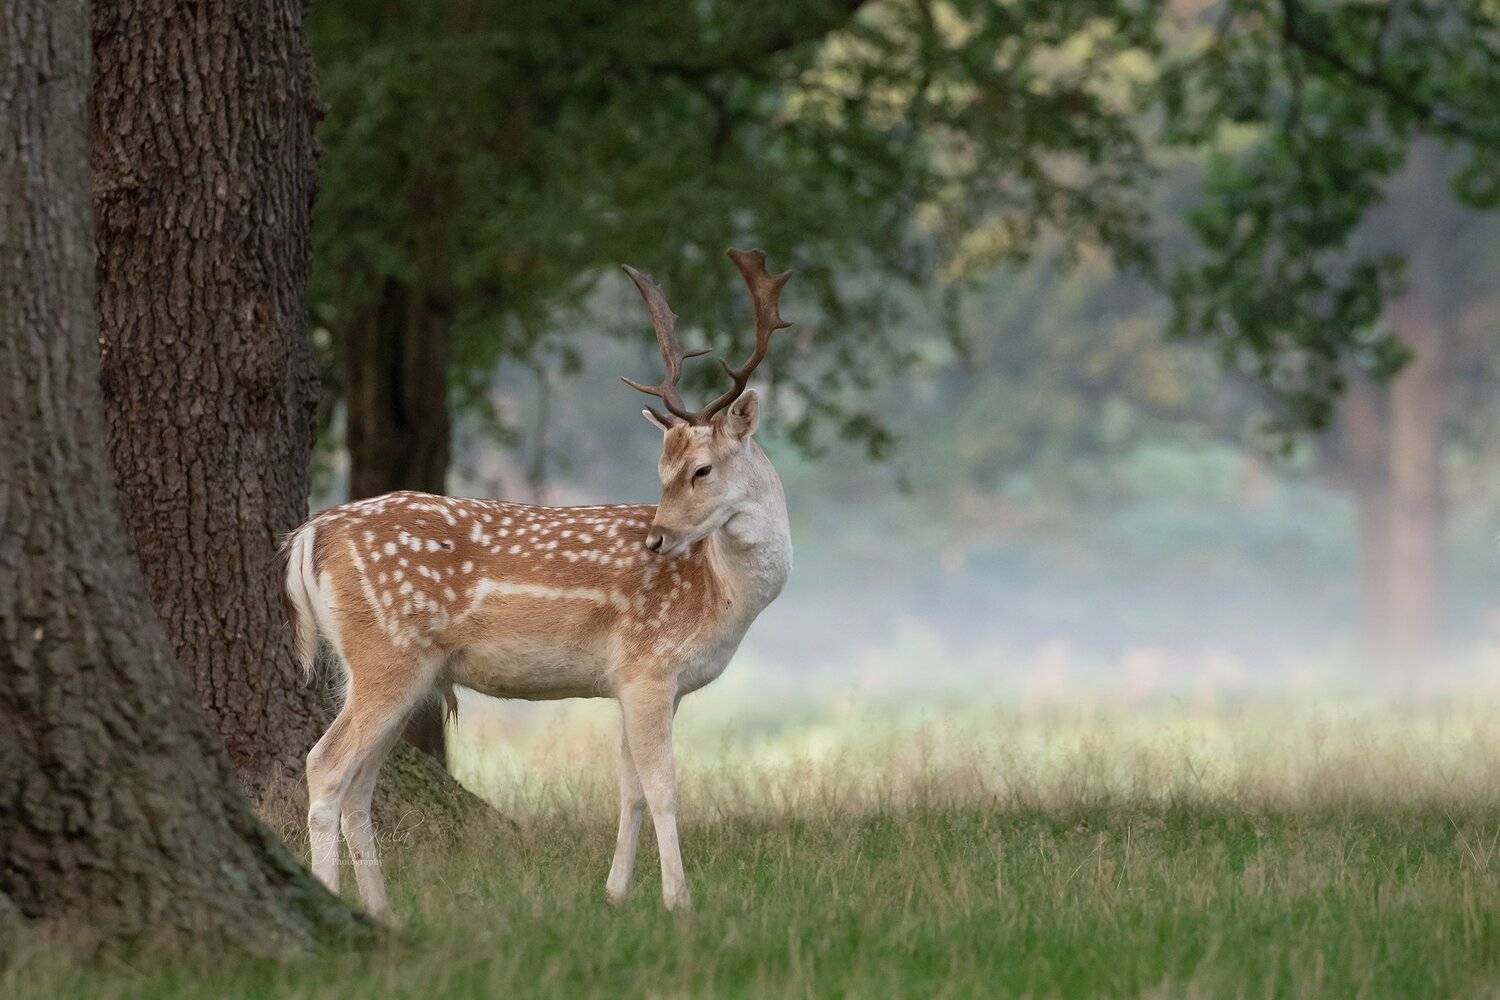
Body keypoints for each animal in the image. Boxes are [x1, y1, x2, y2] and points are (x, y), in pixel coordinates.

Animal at [279, 248, 794, 918]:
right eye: (663, 470)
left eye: (700, 470)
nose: (657, 539)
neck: (720, 596)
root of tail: (310, 533)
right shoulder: (649, 669)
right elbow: (663, 787)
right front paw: (678, 900)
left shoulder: (633, 683)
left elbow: (629, 788)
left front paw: (615, 894)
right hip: (386, 653)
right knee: (326, 764)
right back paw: (333, 899)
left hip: (399, 669)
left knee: (362, 781)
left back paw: (383, 909)